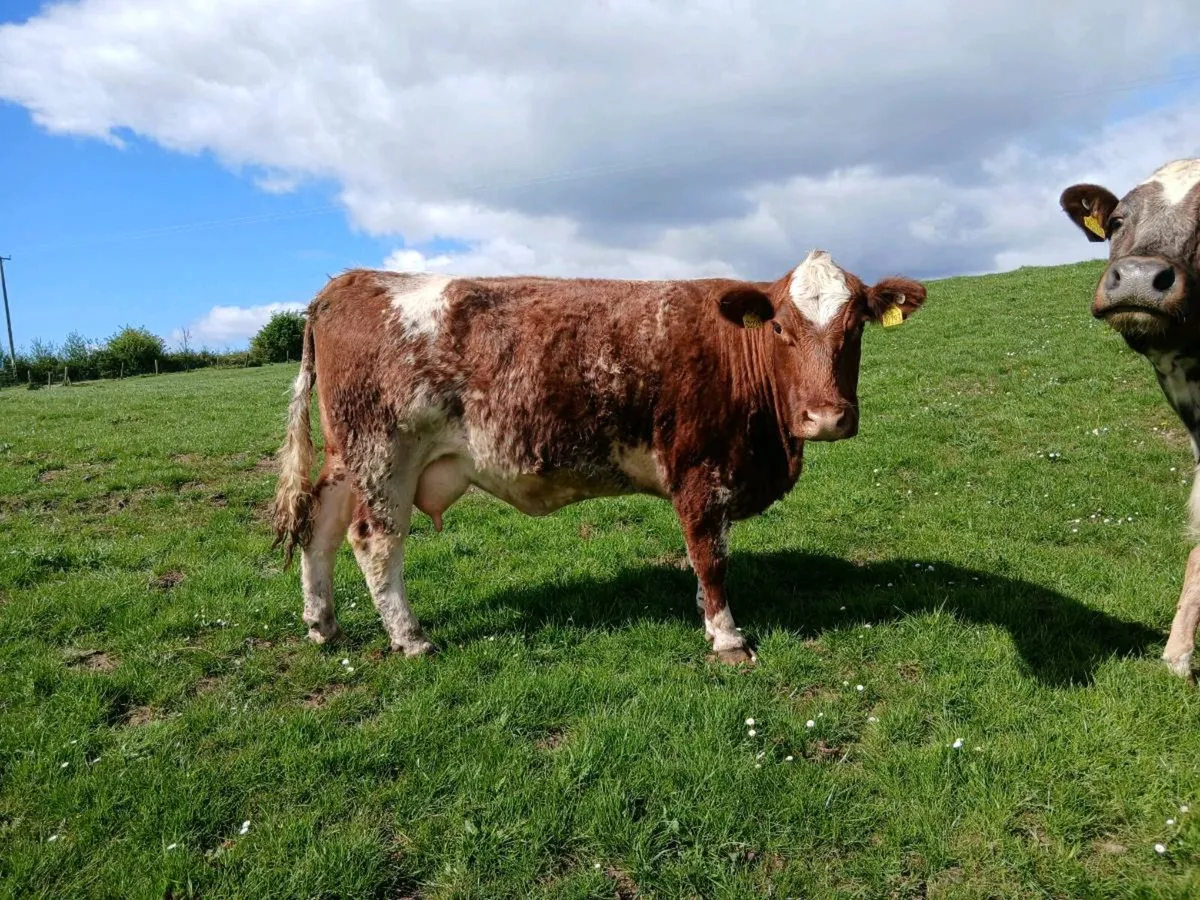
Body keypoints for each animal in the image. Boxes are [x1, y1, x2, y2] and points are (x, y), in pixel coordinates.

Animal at [270, 252, 928, 664]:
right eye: (782, 329)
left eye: (856, 327)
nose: (826, 418)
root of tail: (347, 282)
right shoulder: (700, 473)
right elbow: (711, 557)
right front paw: (726, 637)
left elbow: (704, 560)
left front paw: (701, 610)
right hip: (384, 455)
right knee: (374, 542)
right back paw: (410, 639)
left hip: (347, 457)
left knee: (318, 527)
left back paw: (322, 624)